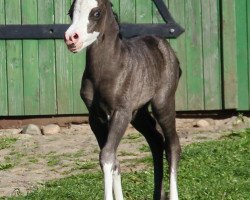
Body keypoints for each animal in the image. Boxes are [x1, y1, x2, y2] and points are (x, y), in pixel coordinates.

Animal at [64, 0, 182, 199]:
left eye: (96, 13)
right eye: (71, 12)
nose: (71, 38)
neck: (108, 69)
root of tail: (166, 48)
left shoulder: (120, 113)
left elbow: (107, 156)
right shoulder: (96, 117)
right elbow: (112, 158)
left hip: (163, 102)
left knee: (172, 145)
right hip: (138, 114)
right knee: (156, 141)